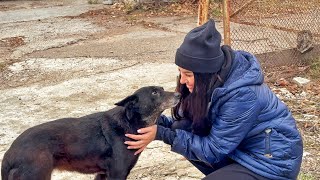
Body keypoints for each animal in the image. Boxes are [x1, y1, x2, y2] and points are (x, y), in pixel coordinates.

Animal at [1, 86, 180, 180]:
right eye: (155, 93)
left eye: (162, 89)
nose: (179, 94)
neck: (129, 122)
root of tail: (9, 154)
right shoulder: (117, 173)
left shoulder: (103, 174)